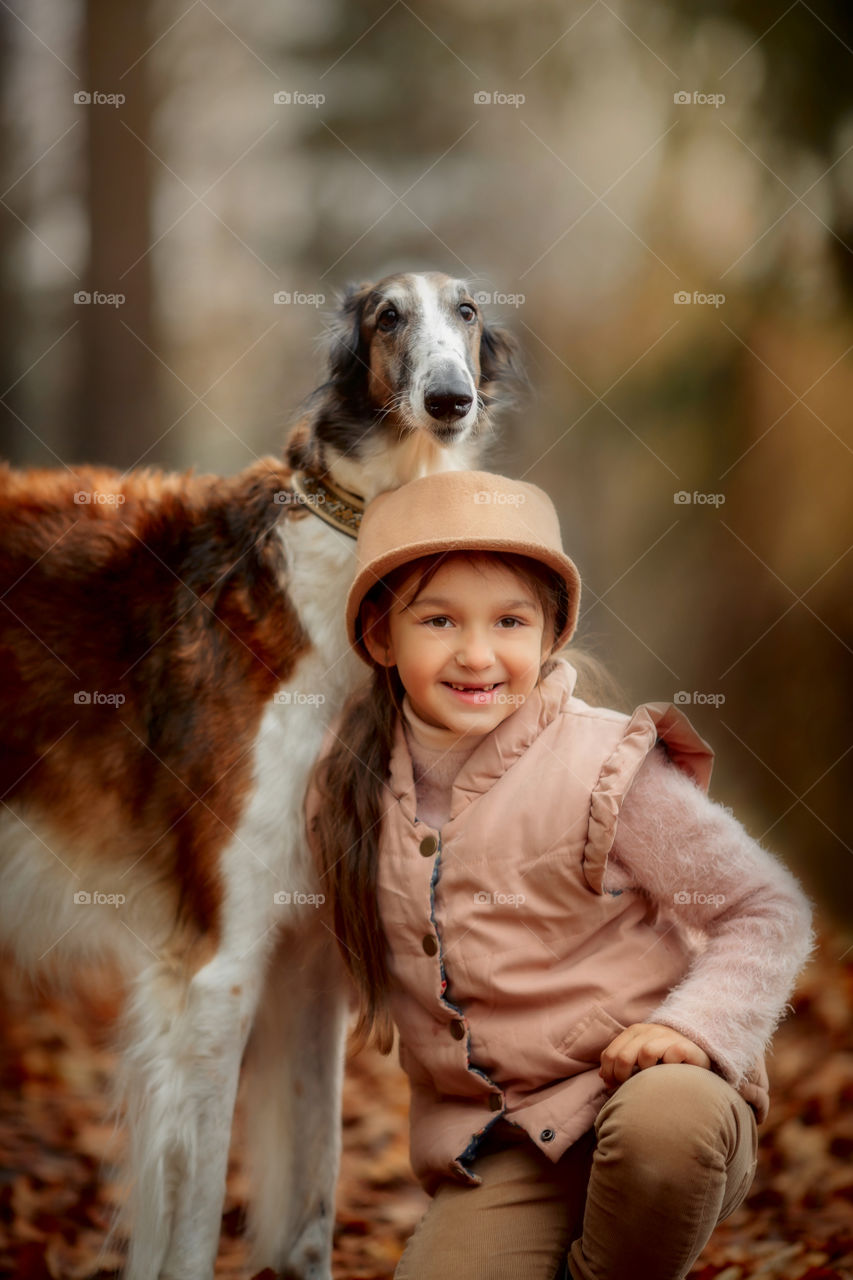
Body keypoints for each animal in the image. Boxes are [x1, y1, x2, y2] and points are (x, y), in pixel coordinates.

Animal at [0, 272, 517, 1280]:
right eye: (387, 316)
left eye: (468, 312)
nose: (449, 399)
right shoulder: (219, 969)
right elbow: (194, 1228)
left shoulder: (310, 957)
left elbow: (308, 1210)